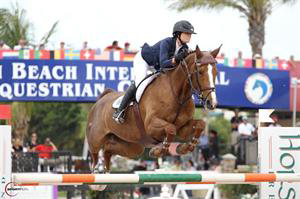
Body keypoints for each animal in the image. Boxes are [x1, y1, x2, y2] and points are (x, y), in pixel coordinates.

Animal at [85, 45, 221, 173]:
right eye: (200, 72)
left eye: (216, 72)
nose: (212, 103)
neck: (177, 94)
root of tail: (102, 98)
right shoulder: (151, 125)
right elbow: (170, 129)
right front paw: (157, 151)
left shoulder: (182, 127)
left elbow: (200, 124)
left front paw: (184, 148)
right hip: (96, 139)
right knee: (95, 156)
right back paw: (96, 174)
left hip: (132, 146)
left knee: (108, 149)